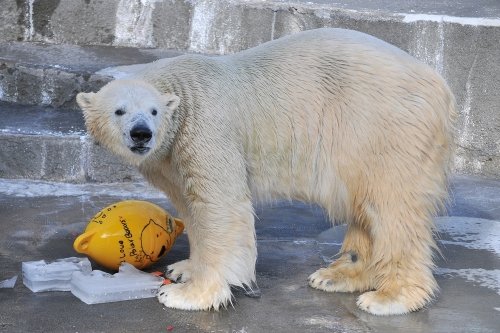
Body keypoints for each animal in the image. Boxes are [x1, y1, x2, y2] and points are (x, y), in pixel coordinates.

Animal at [76, 27, 456, 314]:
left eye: (153, 111)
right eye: (119, 111)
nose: (142, 134)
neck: (182, 92)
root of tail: (440, 85)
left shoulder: (206, 129)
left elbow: (221, 207)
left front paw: (186, 294)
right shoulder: (172, 157)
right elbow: (190, 206)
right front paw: (183, 268)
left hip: (383, 125)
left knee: (391, 208)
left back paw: (390, 297)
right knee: (365, 208)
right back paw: (337, 276)